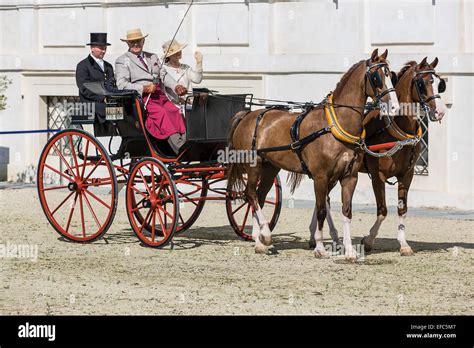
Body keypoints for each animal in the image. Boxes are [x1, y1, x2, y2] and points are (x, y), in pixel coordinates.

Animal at [226, 49, 400, 260]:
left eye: (392, 75)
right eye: (376, 77)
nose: (395, 107)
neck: (335, 126)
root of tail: (248, 115)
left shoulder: (349, 177)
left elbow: (346, 211)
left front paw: (349, 250)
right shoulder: (320, 177)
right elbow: (321, 211)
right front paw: (319, 247)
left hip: (270, 168)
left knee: (258, 196)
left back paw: (259, 242)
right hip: (253, 165)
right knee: (249, 194)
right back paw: (266, 234)